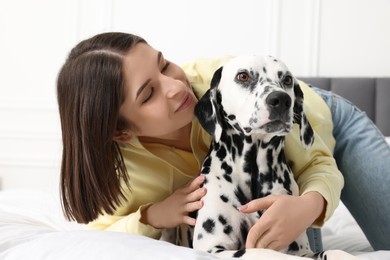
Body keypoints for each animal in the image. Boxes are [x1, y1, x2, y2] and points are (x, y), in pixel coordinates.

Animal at [189, 55, 356, 258]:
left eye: (287, 79)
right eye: (243, 76)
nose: (280, 99)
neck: (253, 173)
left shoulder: (302, 250)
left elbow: (332, 252)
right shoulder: (214, 249)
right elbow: (267, 253)